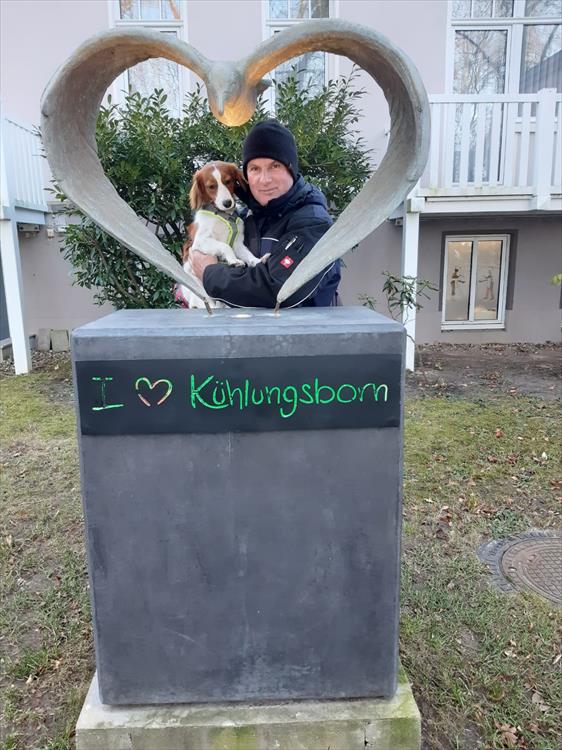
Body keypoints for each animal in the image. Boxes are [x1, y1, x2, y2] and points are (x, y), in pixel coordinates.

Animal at [177, 161, 268, 308]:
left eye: (228, 181)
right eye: (211, 186)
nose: (227, 203)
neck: (222, 215)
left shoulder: (237, 243)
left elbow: (248, 255)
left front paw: (257, 261)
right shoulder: (200, 242)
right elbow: (225, 246)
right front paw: (234, 261)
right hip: (200, 290)